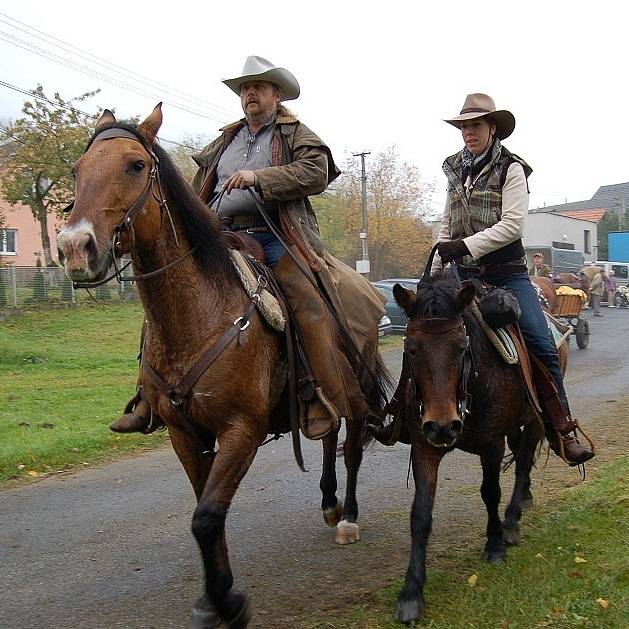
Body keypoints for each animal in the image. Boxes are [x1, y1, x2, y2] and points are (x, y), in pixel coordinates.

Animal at [56, 105, 388, 624]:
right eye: (76, 169)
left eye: (135, 165)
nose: (74, 248)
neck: (198, 316)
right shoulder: (184, 433)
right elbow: (205, 511)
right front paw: (214, 595)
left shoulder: (241, 429)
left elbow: (208, 515)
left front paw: (227, 600)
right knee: (328, 431)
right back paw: (329, 503)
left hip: (353, 386)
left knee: (351, 445)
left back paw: (348, 517)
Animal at [390, 274, 548, 624]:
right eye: (411, 348)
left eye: (461, 347)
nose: (442, 426)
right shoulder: (424, 448)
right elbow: (420, 514)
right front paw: (412, 591)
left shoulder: (492, 444)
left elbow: (491, 492)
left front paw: (495, 544)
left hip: (535, 420)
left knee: (523, 463)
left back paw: (512, 521)